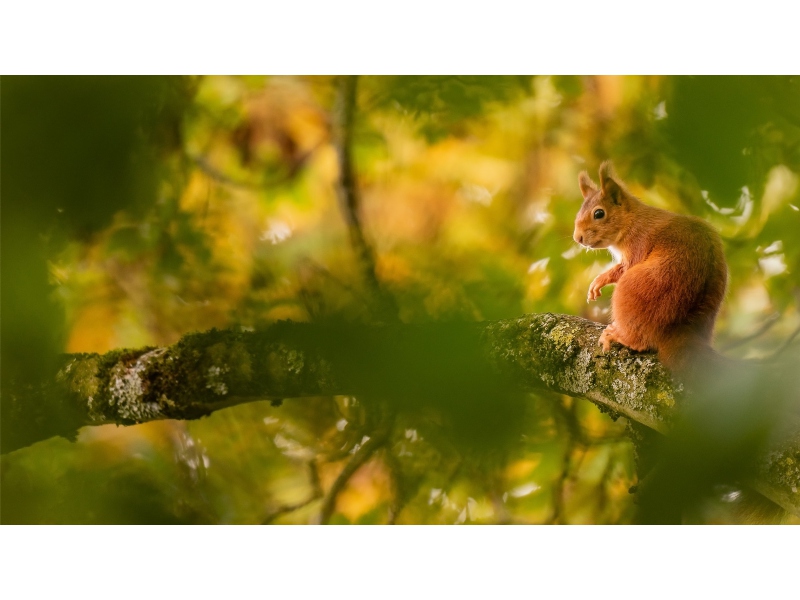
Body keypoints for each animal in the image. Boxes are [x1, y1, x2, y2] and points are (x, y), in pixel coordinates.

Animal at [572, 162, 728, 372]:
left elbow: (624, 268)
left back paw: (619, 336)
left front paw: (599, 280)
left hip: (632, 289)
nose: (577, 238)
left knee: (640, 342)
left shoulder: (638, 242)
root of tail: (677, 329)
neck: (632, 220)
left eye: (599, 213)